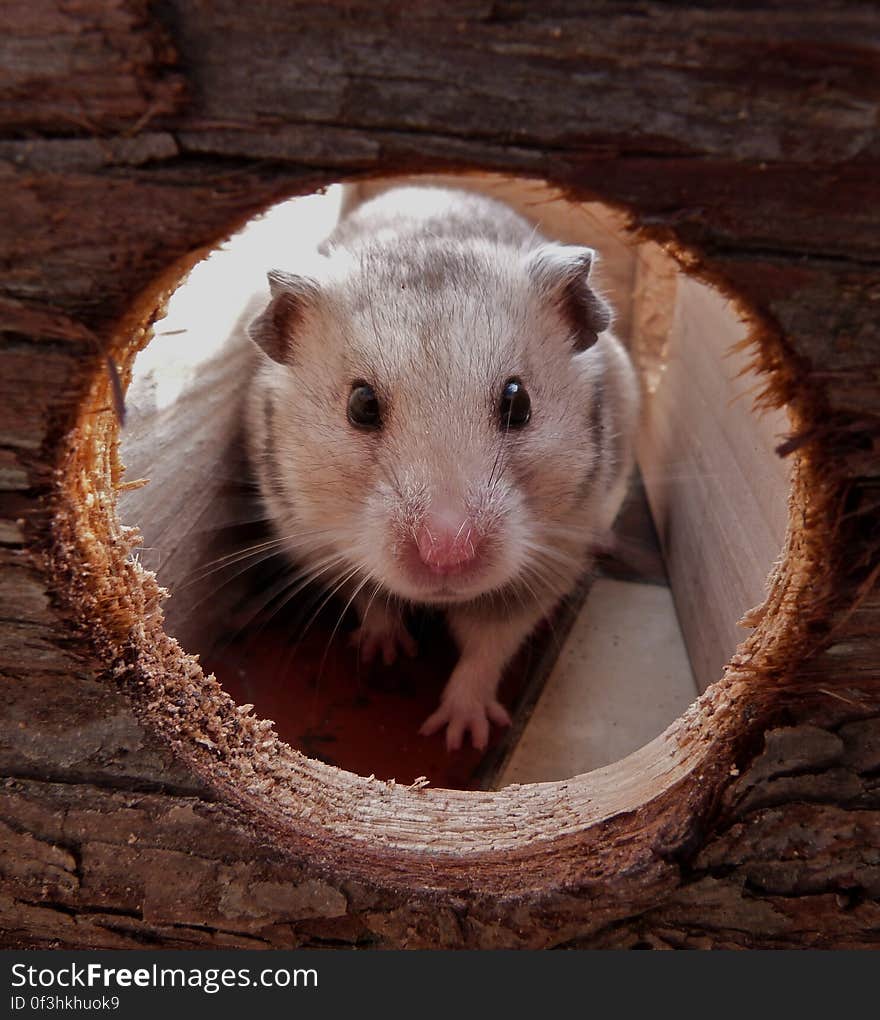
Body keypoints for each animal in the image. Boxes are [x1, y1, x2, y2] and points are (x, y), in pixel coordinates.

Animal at [245, 185, 640, 750]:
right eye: (361, 405)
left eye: (518, 402)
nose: (446, 555)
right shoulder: (319, 546)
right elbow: (373, 599)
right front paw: (383, 654)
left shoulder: (550, 561)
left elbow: (486, 646)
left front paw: (459, 734)